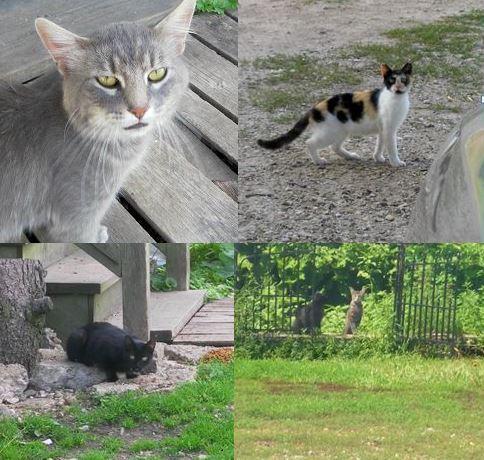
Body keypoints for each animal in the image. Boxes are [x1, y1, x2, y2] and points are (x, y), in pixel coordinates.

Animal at [258, 62, 412, 167]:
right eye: (392, 80)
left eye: (403, 80)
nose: (398, 87)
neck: (396, 99)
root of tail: (313, 108)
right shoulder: (389, 130)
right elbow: (392, 147)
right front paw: (396, 162)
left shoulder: (382, 130)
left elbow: (380, 145)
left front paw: (378, 157)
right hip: (330, 133)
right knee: (310, 143)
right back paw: (319, 161)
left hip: (341, 132)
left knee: (335, 147)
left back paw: (350, 156)